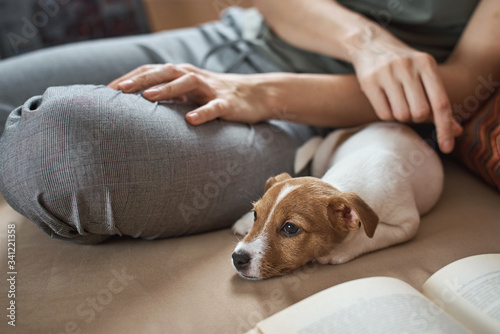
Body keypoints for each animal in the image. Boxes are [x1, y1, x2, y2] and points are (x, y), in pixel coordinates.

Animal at [231, 122, 446, 280]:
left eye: (290, 228)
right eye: (256, 215)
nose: (237, 258)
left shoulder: (406, 225)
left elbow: (370, 236)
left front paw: (340, 250)